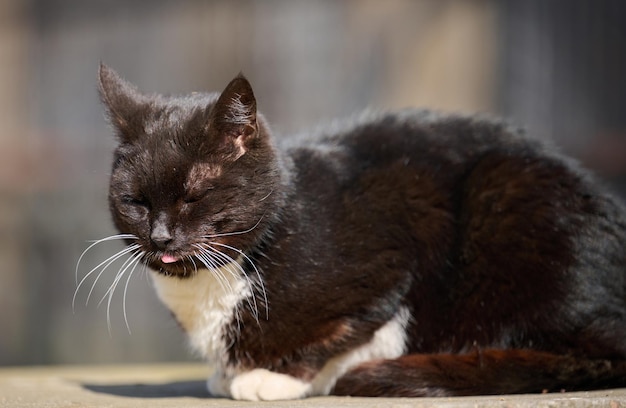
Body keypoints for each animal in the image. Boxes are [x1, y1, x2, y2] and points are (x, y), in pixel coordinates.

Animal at [88, 63, 624, 402]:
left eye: (194, 197)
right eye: (135, 202)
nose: (160, 237)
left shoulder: (395, 250)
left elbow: (343, 331)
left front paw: (276, 378)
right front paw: (231, 374)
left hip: (508, 195)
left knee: (588, 353)